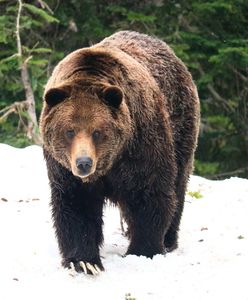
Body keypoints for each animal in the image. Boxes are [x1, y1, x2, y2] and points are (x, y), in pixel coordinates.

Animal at [39, 30, 201, 274]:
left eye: (97, 131)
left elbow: (149, 192)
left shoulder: (140, 144)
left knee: (178, 183)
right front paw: (84, 261)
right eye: (69, 131)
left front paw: (143, 250)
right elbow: (76, 204)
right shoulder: (63, 168)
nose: (84, 163)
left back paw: (169, 239)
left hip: (180, 124)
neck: (109, 163)